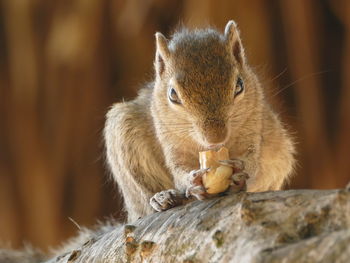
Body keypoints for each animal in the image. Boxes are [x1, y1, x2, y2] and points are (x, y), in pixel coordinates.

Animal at [104, 21, 296, 223]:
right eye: (172, 94)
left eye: (239, 85)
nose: (215, 138)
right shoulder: (171, 142)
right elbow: (178, 169)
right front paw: (191, 181)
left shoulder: (252, 127)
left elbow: (252, 161)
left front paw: (239, 170)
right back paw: (163, 198)